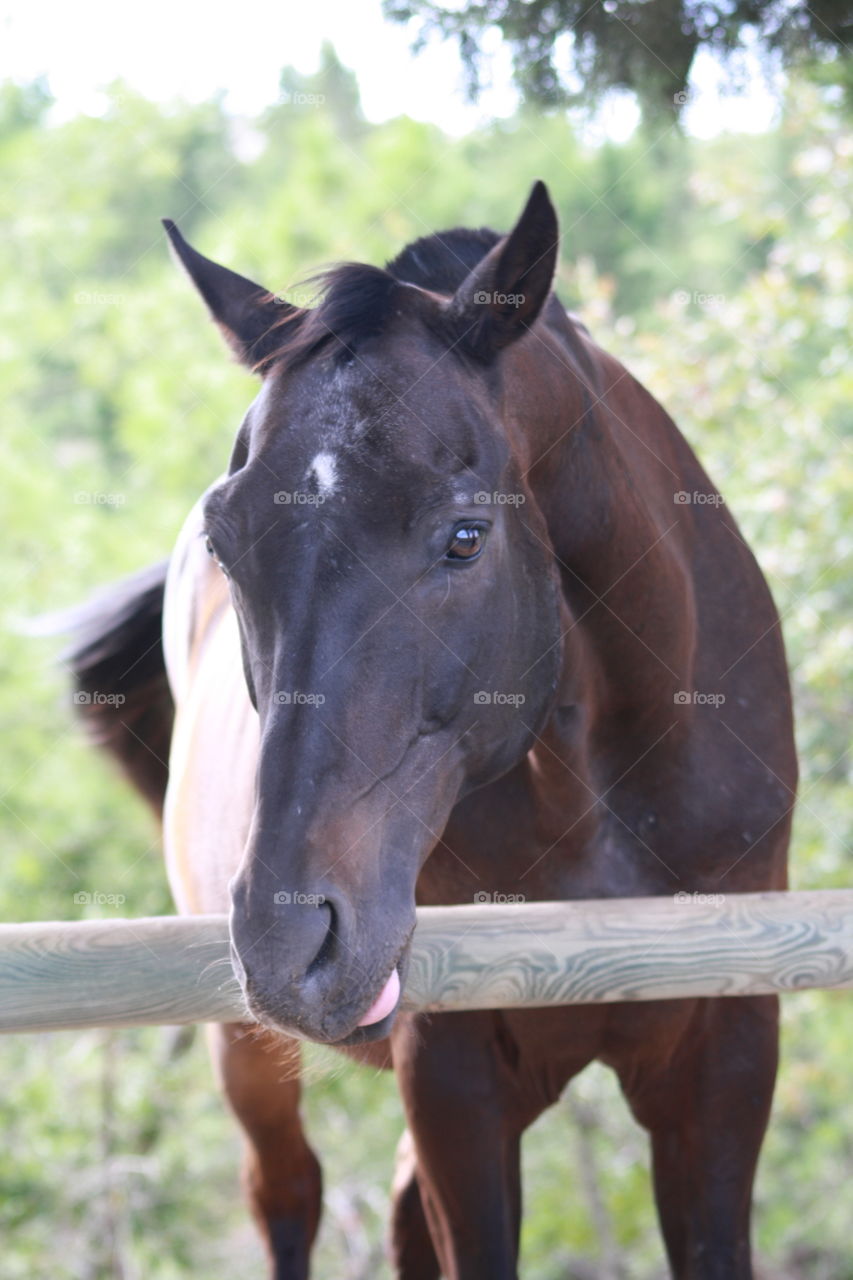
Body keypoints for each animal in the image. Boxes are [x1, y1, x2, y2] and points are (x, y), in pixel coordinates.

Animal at [68, 180, 797, 1279]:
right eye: (226, 541)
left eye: (463, 535)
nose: (288, 936)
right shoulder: (454, 1078)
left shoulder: (723, 1064)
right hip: (250, 1057)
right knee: (287, 1195)